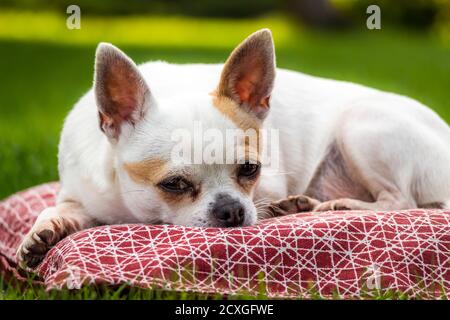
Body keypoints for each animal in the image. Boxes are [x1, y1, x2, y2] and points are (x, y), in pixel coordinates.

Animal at [17, 28, 450, 268]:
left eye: (250, 170)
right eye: (174, 184)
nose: (231, 209)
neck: (129, 205)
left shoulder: (271, 182)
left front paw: (282, 207)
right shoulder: (80, 194)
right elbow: (58, 208)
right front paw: (43, 232)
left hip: (360, 125)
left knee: (401, 200)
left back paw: (335, 206)